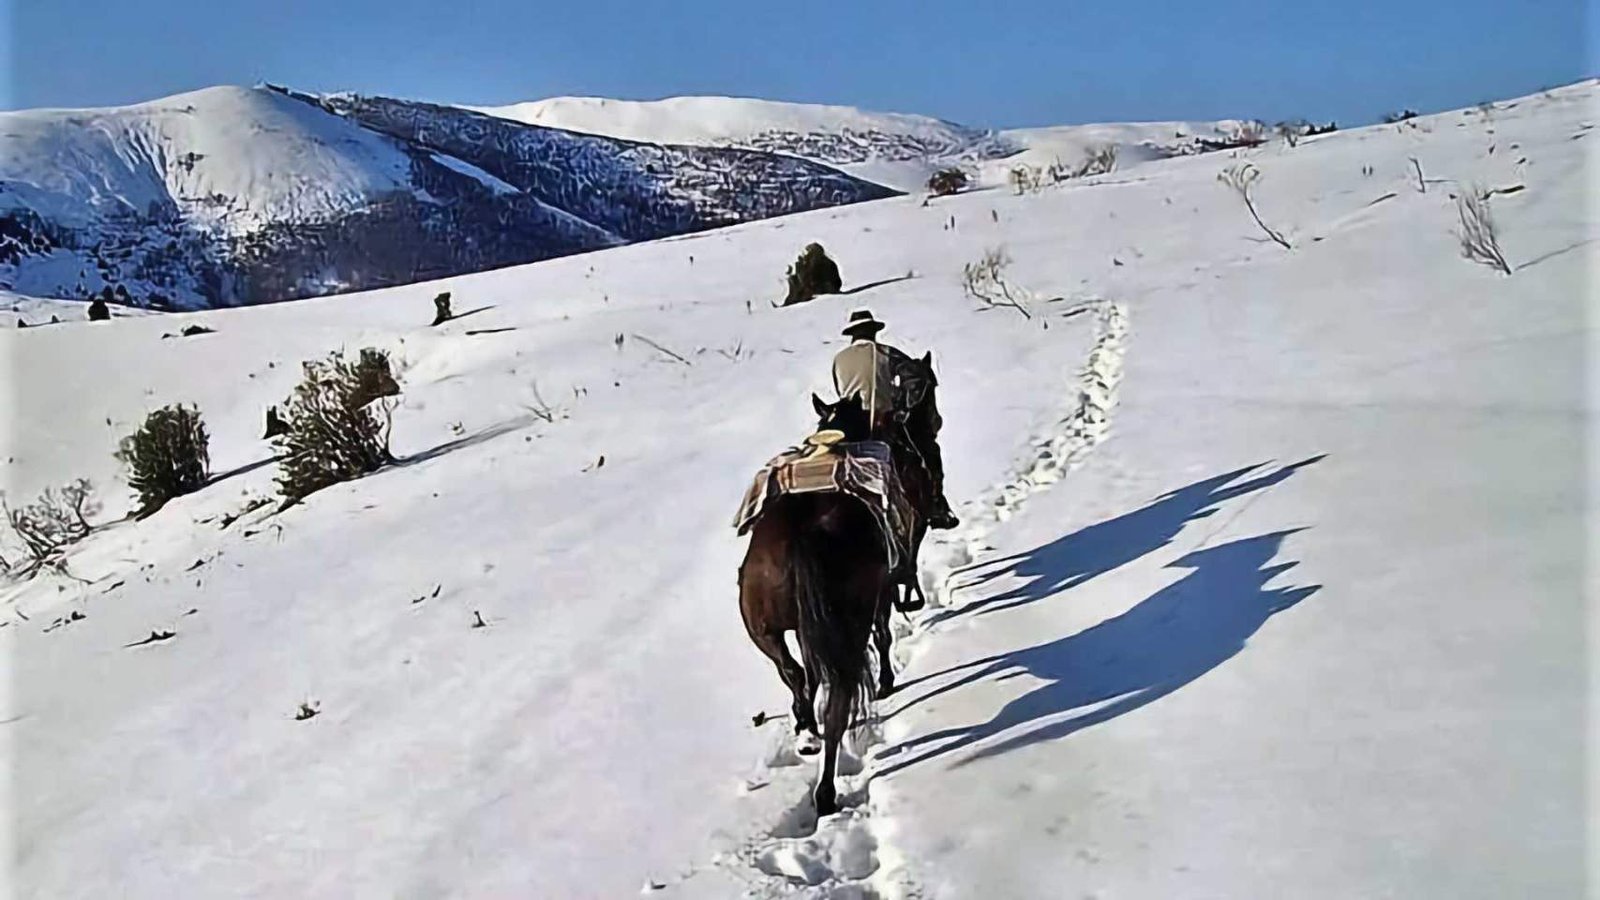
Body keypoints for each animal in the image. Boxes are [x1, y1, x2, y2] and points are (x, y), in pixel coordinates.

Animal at [736, 392, 902, 813]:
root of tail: (803, 535)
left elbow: (807, 675)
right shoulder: (880, 595)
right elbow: (884, 636)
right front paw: (887, 681)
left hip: (766, 629)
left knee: (795, 674)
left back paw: (808, 735)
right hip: (848, 622)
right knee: (837, 705)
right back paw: (825, 792)